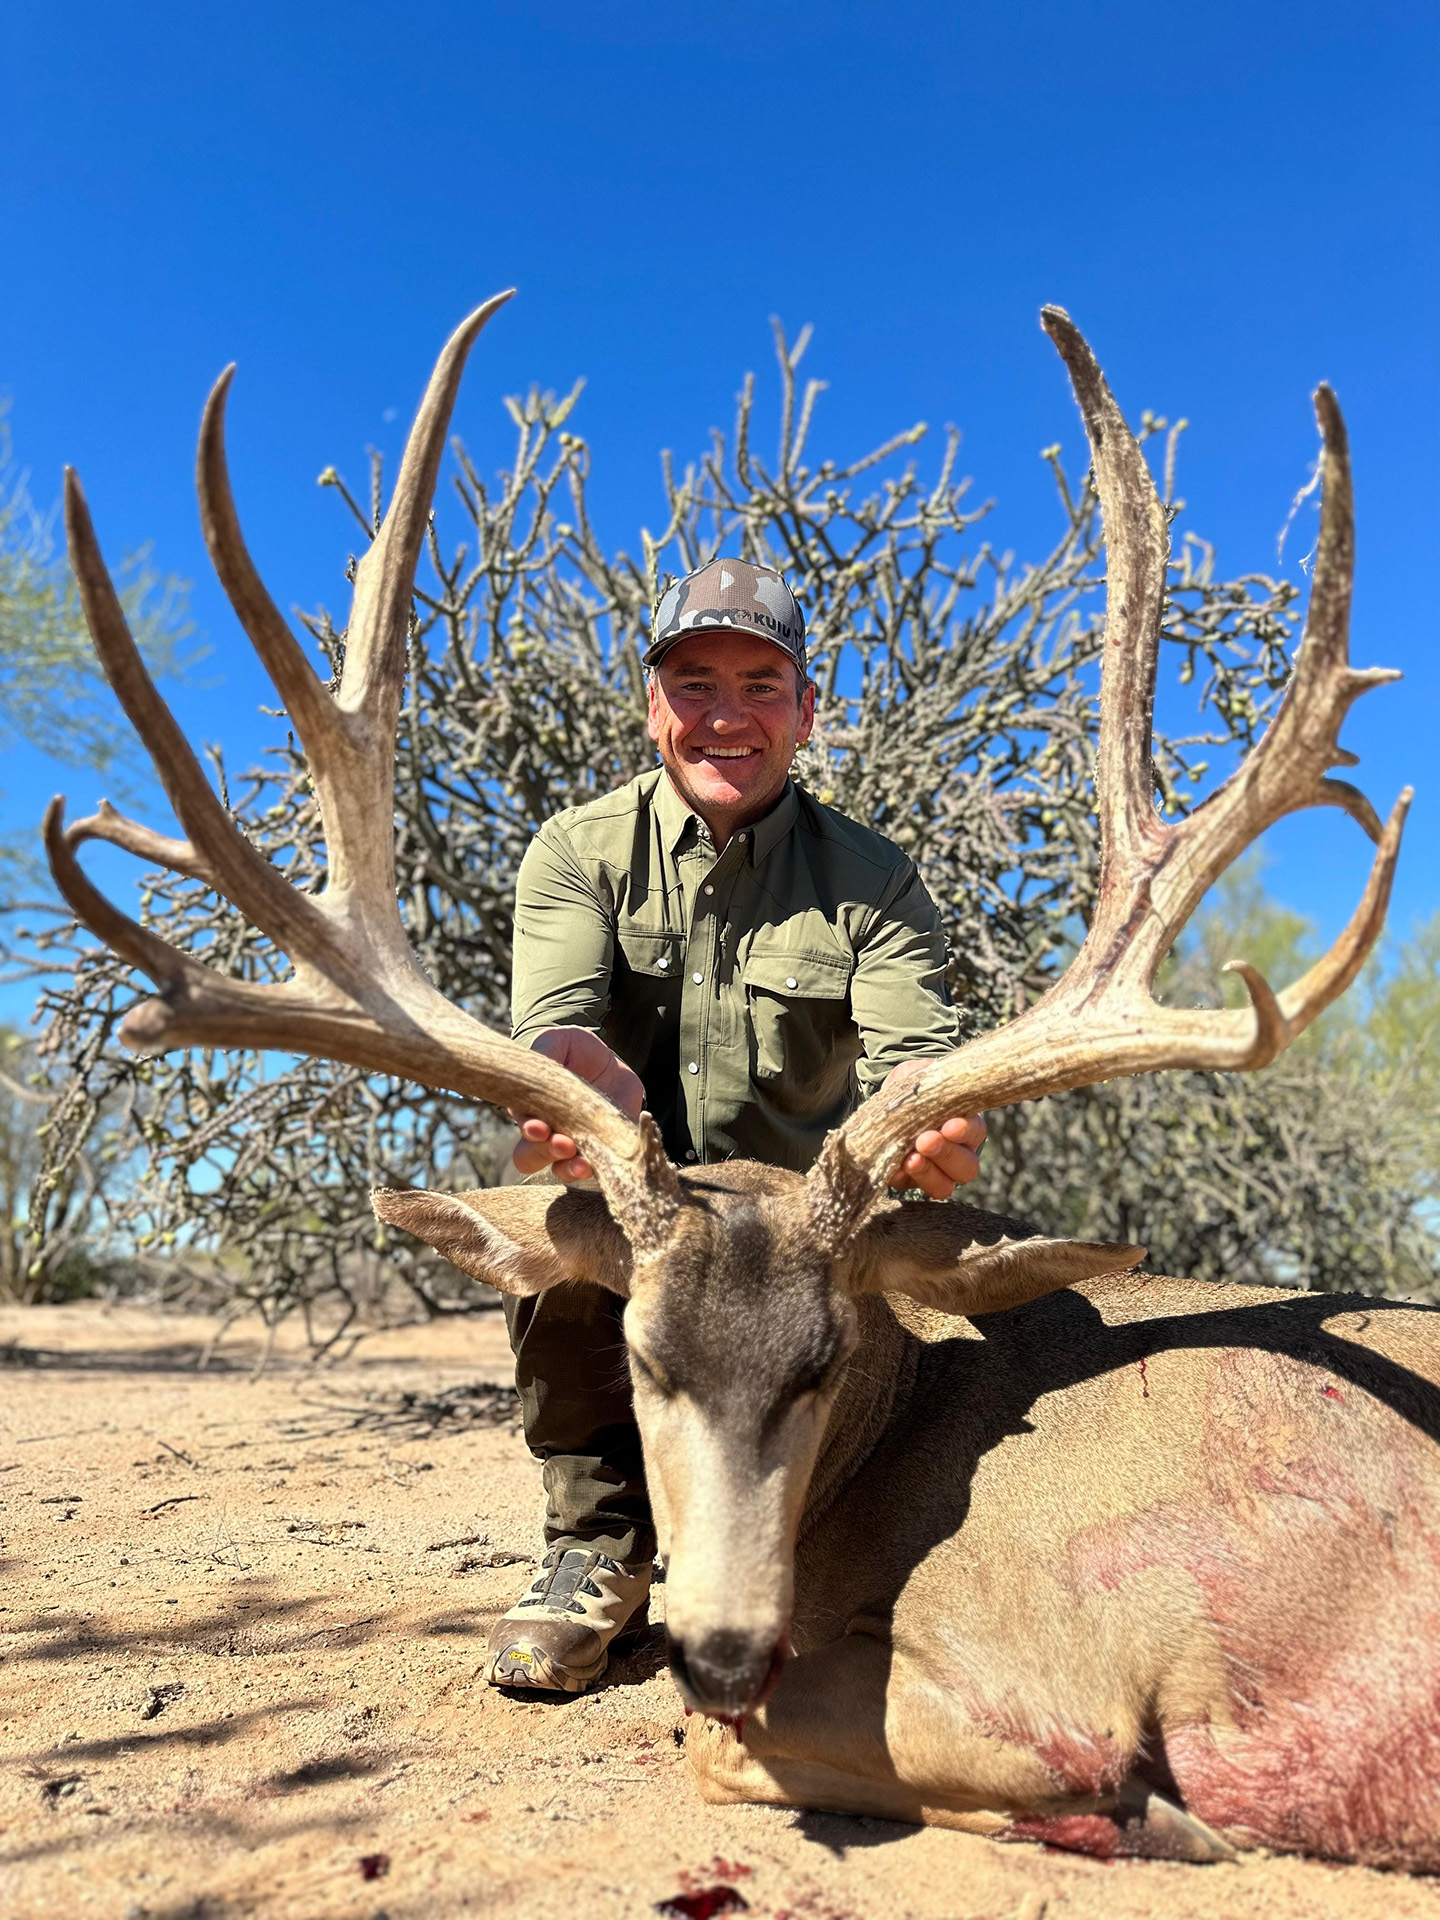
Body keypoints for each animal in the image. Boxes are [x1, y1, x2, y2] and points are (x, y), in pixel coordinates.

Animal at [46, 292, 1439, 1872]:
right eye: (644, 1355)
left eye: (825, 1361)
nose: (717, 1644)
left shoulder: (1050, 1672)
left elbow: (726, 1747)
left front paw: (1160, 1822)